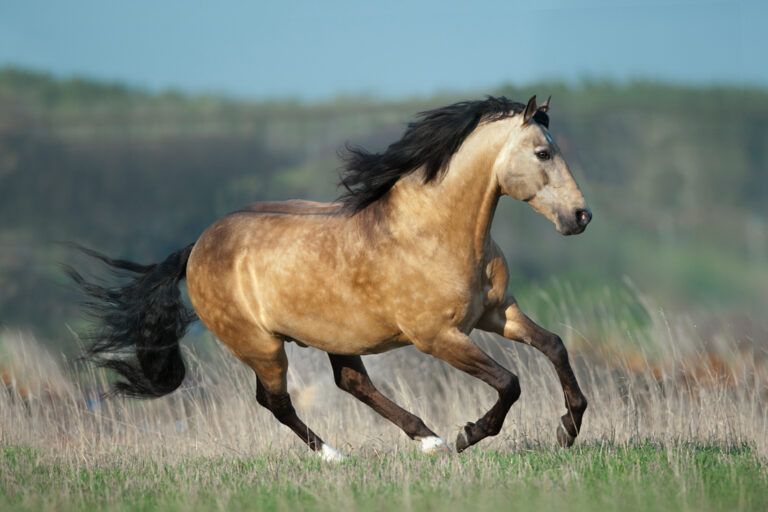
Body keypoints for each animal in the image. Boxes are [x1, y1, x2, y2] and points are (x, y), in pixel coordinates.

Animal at [69, 95, 591, 461]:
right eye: (543, 153)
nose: (580, 217)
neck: (433, 231)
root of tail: (196, 247)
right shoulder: (437, 337)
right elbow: (509, 381)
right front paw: (470, 434)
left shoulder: (496, 312)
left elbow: (554, 347)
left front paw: (568, 428)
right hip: (262, 346)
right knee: (275, 400)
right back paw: (338, 454)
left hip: (338, 335)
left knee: (350, 383)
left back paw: (427, 440)